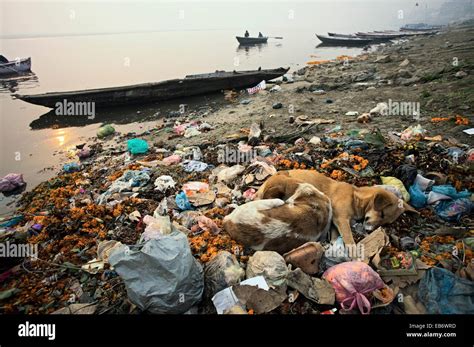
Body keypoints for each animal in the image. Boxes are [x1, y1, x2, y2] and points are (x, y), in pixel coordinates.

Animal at [256, 170, 418, 246]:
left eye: (386, 222)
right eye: (382, 213)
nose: (370, 230)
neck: (356, 196)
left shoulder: (336, 223)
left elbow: (335, 237)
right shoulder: (341, 219)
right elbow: (350, 240)